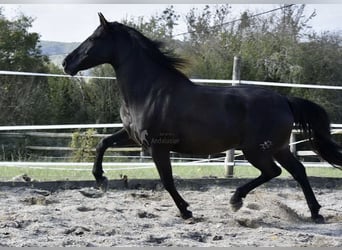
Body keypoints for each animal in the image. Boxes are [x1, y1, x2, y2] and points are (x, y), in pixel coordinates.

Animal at [62, 13, 340, 223]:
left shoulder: (158, 146)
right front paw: (101, 180)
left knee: (274, 171)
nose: (66, 62)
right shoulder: (134, 137)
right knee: (299, 171)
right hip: (278, 148)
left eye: (95, 38)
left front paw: (186, 211)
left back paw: (236, 200)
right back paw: (315, 213)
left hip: (256, 150)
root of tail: (285, 100)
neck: (149, 92)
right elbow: (102, 143)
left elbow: (167, 181)